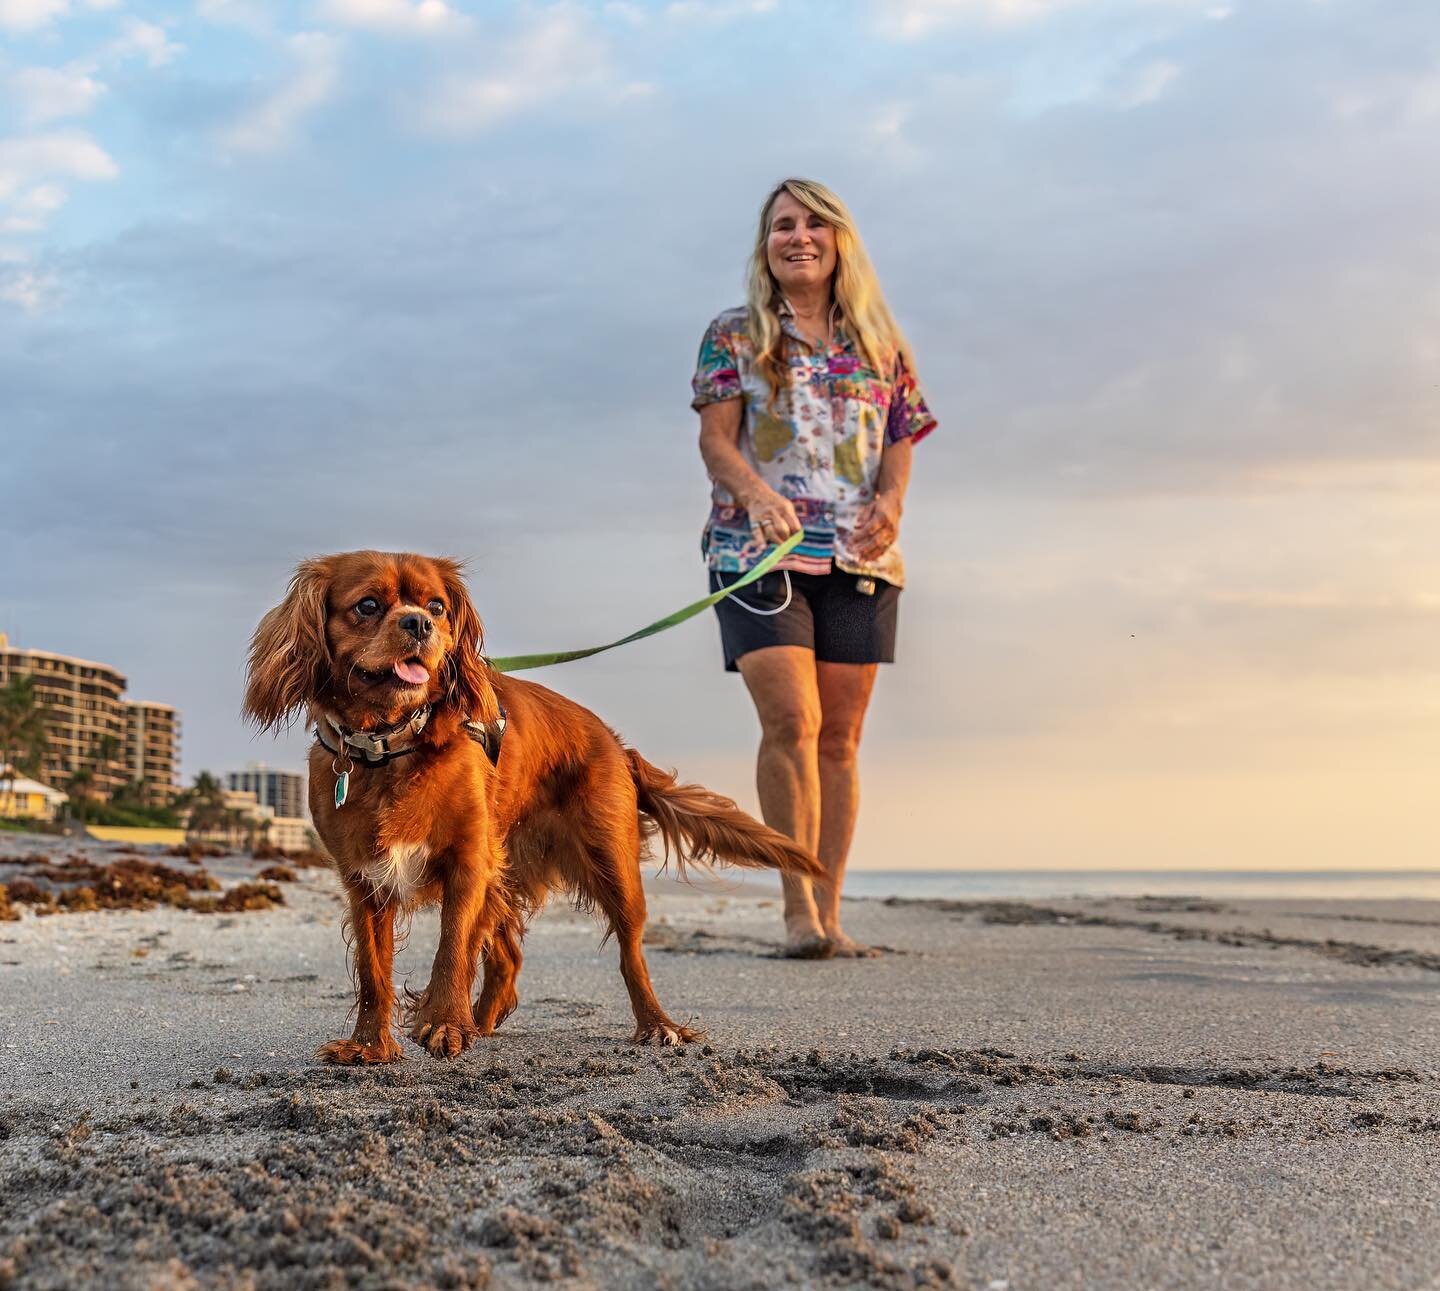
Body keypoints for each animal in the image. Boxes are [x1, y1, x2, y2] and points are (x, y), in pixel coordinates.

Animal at [241, 549, 817, 1065]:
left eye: (437, 606)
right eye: (366, 606)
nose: (419, 624)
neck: (391, 745)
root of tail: (616, 744)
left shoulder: (468, 863)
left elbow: (453, 947)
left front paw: (443, 1023)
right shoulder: (364, 879)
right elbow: (372, 971)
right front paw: (369, 1046)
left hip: (609, 864)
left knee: (630, 954)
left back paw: (657, 1026)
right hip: (506, 871)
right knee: (508, 959)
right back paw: (483, 1020)